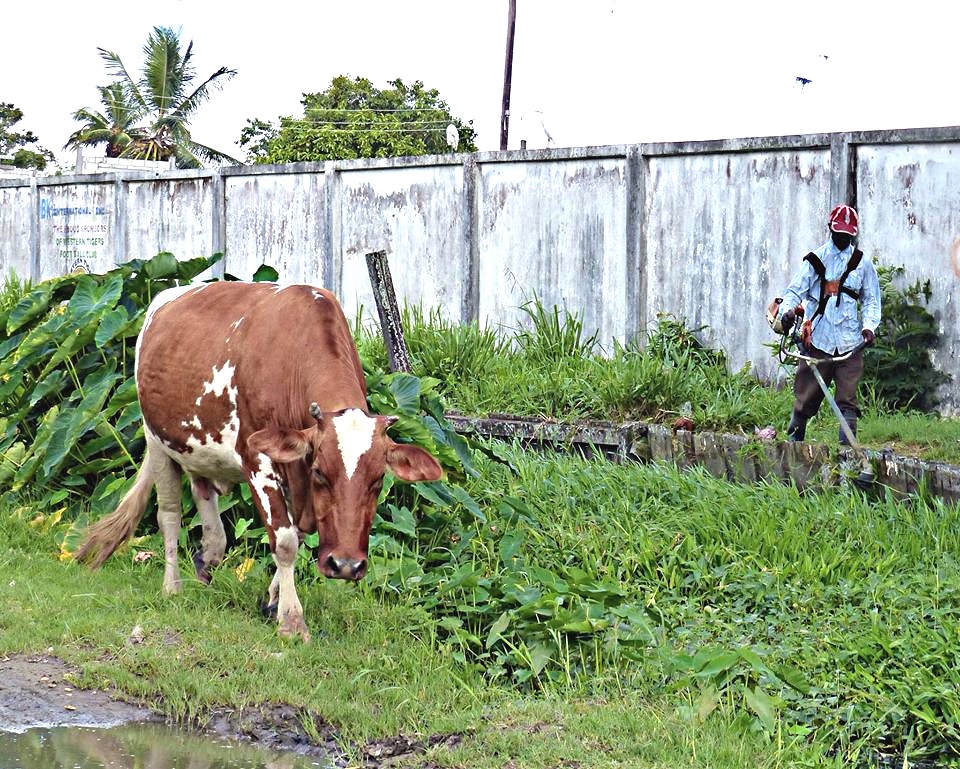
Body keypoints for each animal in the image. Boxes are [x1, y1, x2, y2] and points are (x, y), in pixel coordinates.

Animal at [77, 280, 444, 640]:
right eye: (320, 472)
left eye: (378, 480)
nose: (346, 566)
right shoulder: (258, 459)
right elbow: (284, 540)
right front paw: (292, 621)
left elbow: (297, 536)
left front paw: (273, 601)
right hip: (157, 441)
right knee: (169, 514)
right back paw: (173, 587)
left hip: (199, 447)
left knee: (207, 508)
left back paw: (207, 564)